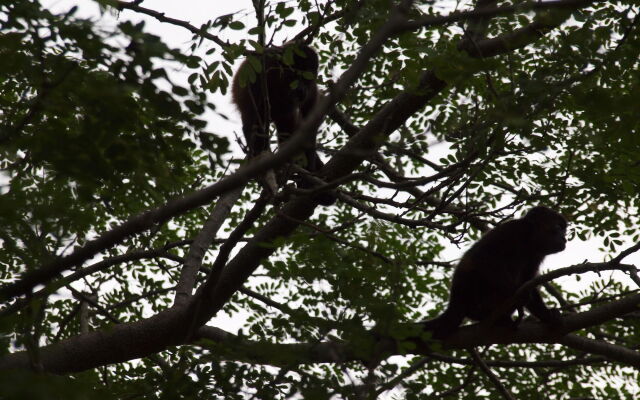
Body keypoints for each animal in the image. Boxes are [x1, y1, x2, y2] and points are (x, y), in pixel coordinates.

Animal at [234, 41, 338, 206]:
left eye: (306, 77)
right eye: (295, 75)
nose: (301, 89)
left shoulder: (312, 90)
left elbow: (309, 126)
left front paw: (308, 176)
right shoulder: (258, 74)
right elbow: (253, 125)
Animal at [422, 206, 568, 338]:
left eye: (564, 230)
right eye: (558, 227)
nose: (565, 238)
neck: (530, 240)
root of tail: (456, 302)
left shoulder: (536, 256)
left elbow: (528, 281)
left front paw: (547, 315)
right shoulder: (511, 230)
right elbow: (483, 257)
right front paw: (513, 291)